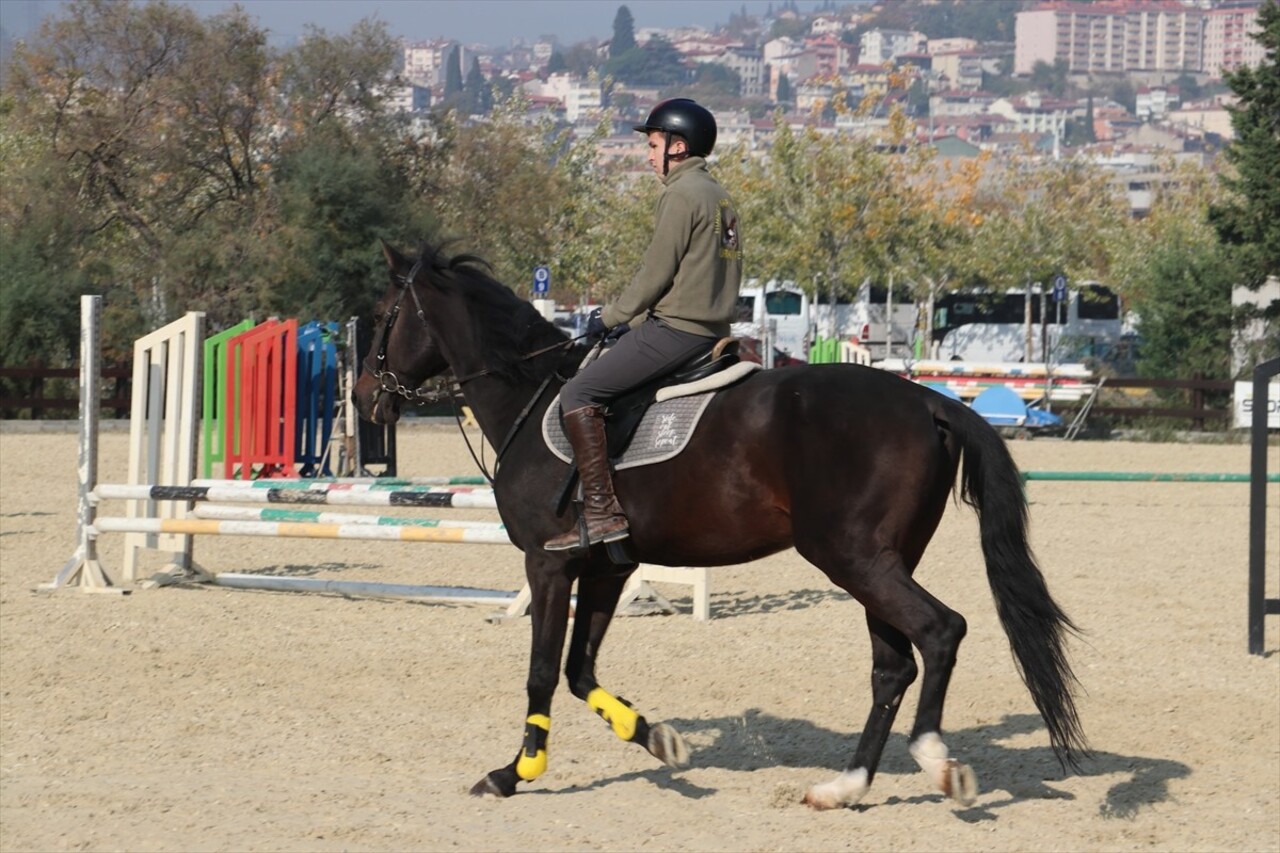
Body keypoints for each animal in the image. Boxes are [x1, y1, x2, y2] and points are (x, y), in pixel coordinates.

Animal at [353, 236, 1090, 804]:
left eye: (384, 314)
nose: (364, 399)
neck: (531, 396)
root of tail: (929, 401)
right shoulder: (605, 568)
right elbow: (580, 669)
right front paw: (656, 737)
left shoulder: (550, 562)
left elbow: (542, 670)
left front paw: (515, 772)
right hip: (878, 562)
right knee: (892, 666)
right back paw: (845, 787)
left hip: (853, 557)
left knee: (939, 632)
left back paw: (935, 760)